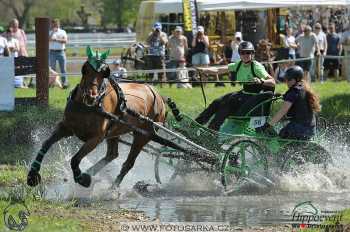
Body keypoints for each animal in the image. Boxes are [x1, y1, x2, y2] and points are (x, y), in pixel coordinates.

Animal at [27, 47, 167, 188]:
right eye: (85, 69)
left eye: (105, 72)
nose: (91, 96)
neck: (87, 107)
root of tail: (158, 95)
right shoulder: (66, 128)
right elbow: (46, 144)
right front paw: (32, 175)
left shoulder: (96, 138)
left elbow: (75, 159)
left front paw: (81, 178)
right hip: (115, 132)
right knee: (112, 154)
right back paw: (93, 173)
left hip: (143, 136)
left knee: (128, 163)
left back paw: (112, 187)